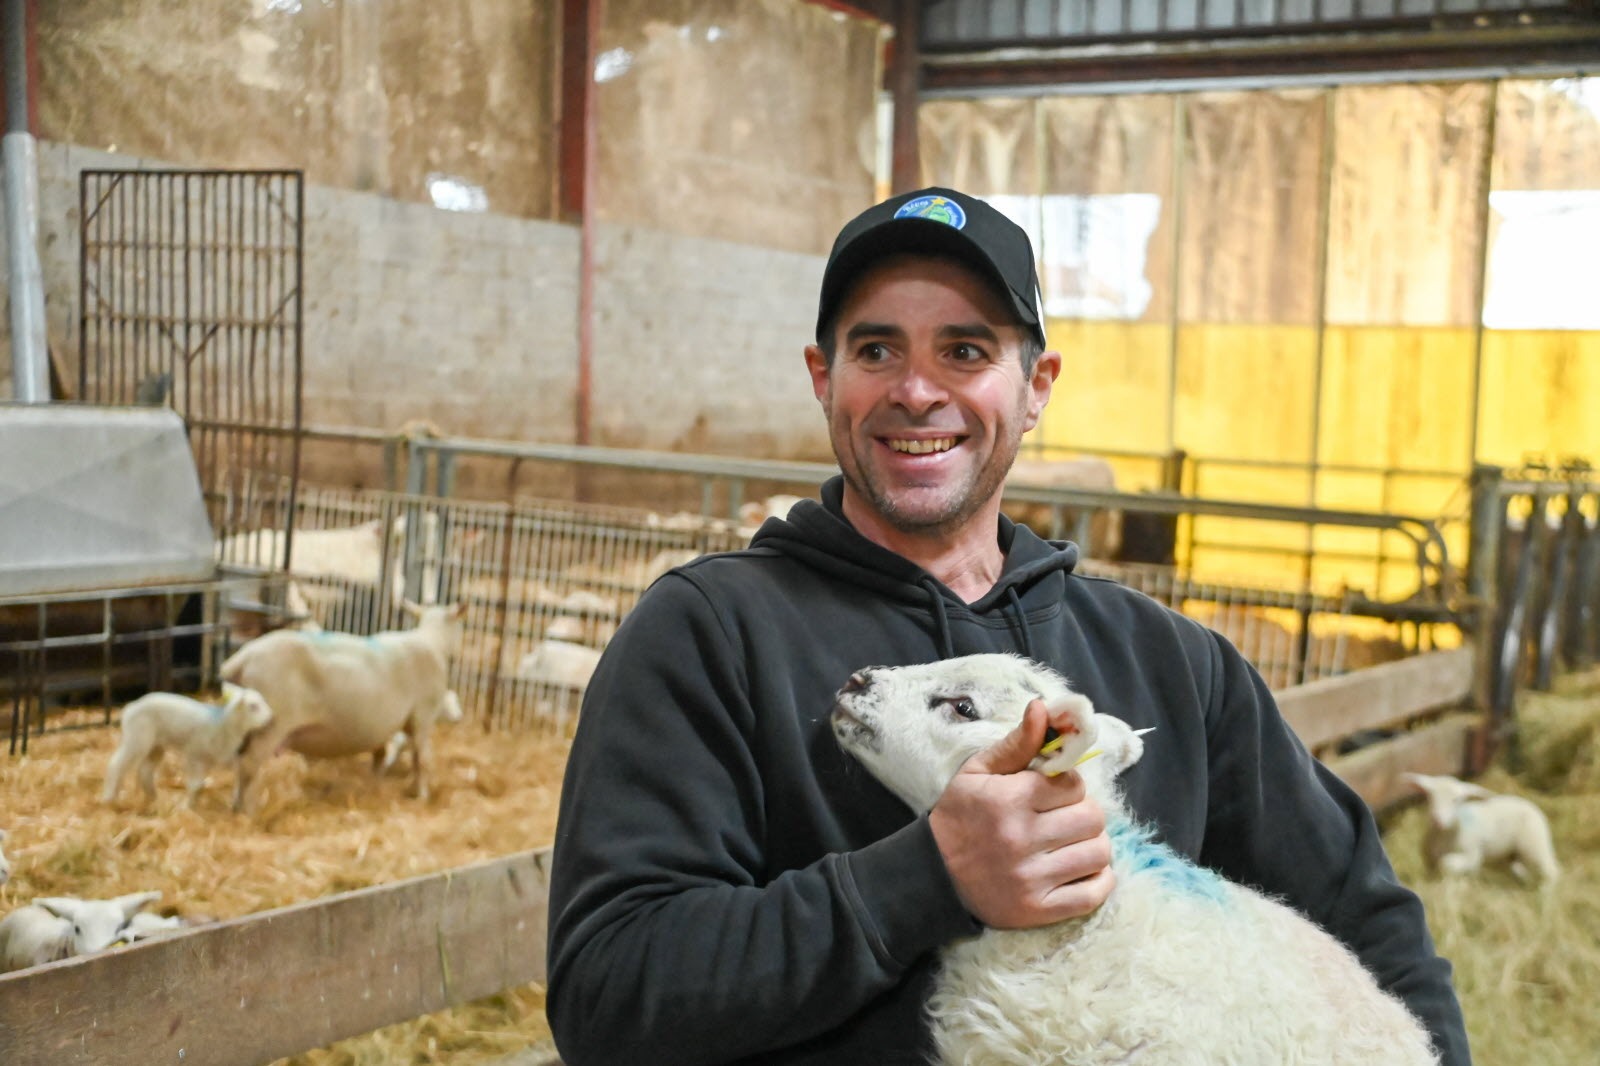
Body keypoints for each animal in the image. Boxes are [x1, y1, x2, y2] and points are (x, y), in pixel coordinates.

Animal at [103, 681, 273, 806]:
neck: (223, 726)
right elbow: (195, 785)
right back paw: (109, 797)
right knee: (116, 764)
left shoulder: (216, 758)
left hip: (156, 745)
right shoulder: (194, 754)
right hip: (137, 738)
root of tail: (131, 706)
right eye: (253, 706)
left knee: (145, 771)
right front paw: (187, 808)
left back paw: (153, 798)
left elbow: (206, 784)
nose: (270, 718)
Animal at [222, 598, 467, 806]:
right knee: (249, 764)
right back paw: (247, 809)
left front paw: (374, 785)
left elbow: (379, 756)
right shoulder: (423, 716)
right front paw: (421, 795)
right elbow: (421, 759)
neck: (433, 642)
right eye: (459, 626)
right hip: (272, 724)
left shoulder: (382, 728)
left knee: (239, 761)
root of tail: (243, 658)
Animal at [1401, 768, 1561, 883]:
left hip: (1535, 844)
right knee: (1520, 868)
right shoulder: (1429, 861)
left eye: (1457, 799)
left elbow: (1446, 864)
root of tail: (1530, 804)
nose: (1437, 819)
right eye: (1430, 796)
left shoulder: (1472, 855)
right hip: (1515, 853)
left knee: (1552, 870)